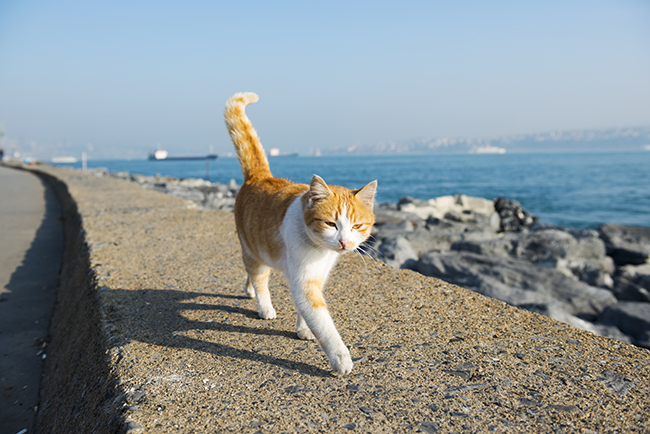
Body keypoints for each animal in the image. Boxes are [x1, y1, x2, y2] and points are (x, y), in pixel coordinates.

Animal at [224, 93, 378, 374]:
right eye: (330, 224)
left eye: (356, 226)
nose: (343, 242)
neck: (321, 251)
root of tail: (259, 176)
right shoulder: (304, 280)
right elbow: (322, 321)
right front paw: (340, 357)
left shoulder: (318, 275)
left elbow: (306, 310)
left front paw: (304, 328)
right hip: (251, 247)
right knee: (259, 276)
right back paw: (264, 305)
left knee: (251, 273)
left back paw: (249, 290)